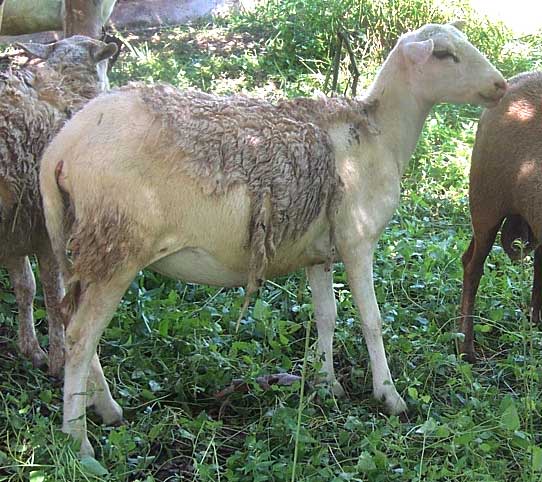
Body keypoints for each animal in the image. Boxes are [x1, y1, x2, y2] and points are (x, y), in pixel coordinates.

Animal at [39, 21, 510, 456]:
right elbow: (372, 321)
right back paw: (78, 440)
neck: (378, 133)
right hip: (117, 245)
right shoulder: (357, 240)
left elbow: (326, 316)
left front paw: (327, 384)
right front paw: (389, 396)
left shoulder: (320, 253)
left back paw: (105, 410)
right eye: (444, 54)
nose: (501, 85)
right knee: (81, 338)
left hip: (80, 245)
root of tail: (60, 148)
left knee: (72, 327)